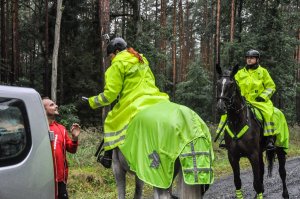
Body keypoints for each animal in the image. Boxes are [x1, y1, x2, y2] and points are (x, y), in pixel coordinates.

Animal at [216, 64, 288, 198]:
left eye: (231, 85)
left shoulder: (252, 155)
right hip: (260, 152)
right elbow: (237, 181)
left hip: (280, 148)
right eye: (218, 83)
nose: (220, 107)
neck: (237, 123)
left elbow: (256, 182)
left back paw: (285, 194)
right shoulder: (232, 156)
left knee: (282, 172)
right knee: (263, 169)